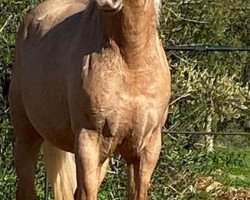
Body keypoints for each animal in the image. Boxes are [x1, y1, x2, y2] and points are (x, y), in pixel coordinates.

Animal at [8, 0, 171, 199]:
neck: (131, 61)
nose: (107, 2)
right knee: (26, 189)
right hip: (26, 138)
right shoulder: (89, 139)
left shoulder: (146, 148)